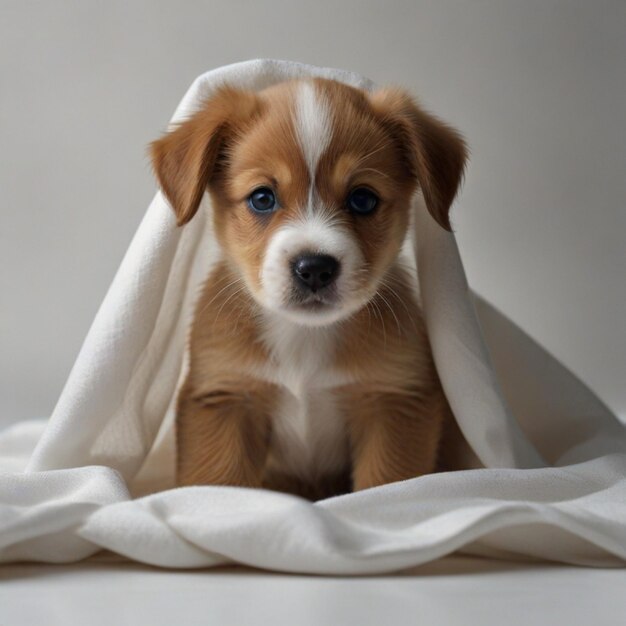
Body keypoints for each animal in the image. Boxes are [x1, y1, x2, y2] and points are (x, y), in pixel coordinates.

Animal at [150, 77, 468, 498]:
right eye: (262, 198)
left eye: (363, 199)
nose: (314, 268)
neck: (304, 338)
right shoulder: (225, 399)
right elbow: (221, 484)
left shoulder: (393, 401)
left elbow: (384, 484)